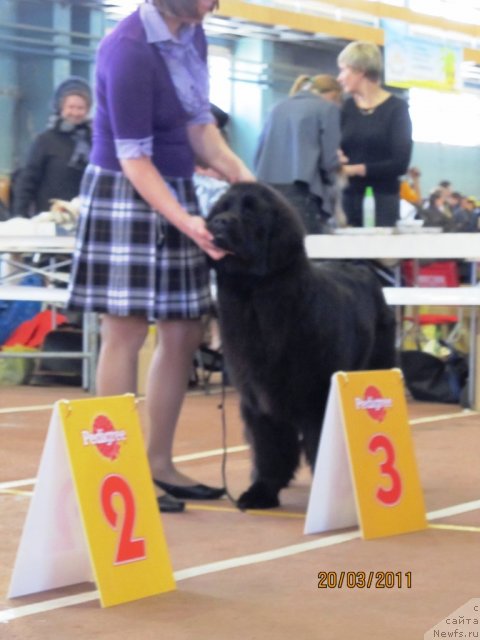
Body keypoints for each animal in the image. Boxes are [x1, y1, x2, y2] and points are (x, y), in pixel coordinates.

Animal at [205, 181, 394, 510]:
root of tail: (361, 268)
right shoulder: (258, 399)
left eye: (251, 212)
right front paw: (262, 492)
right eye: (222, 208)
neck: (255, 297)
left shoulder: (316, 397)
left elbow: (320, 444)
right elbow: (270, 449)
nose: (219, 222)